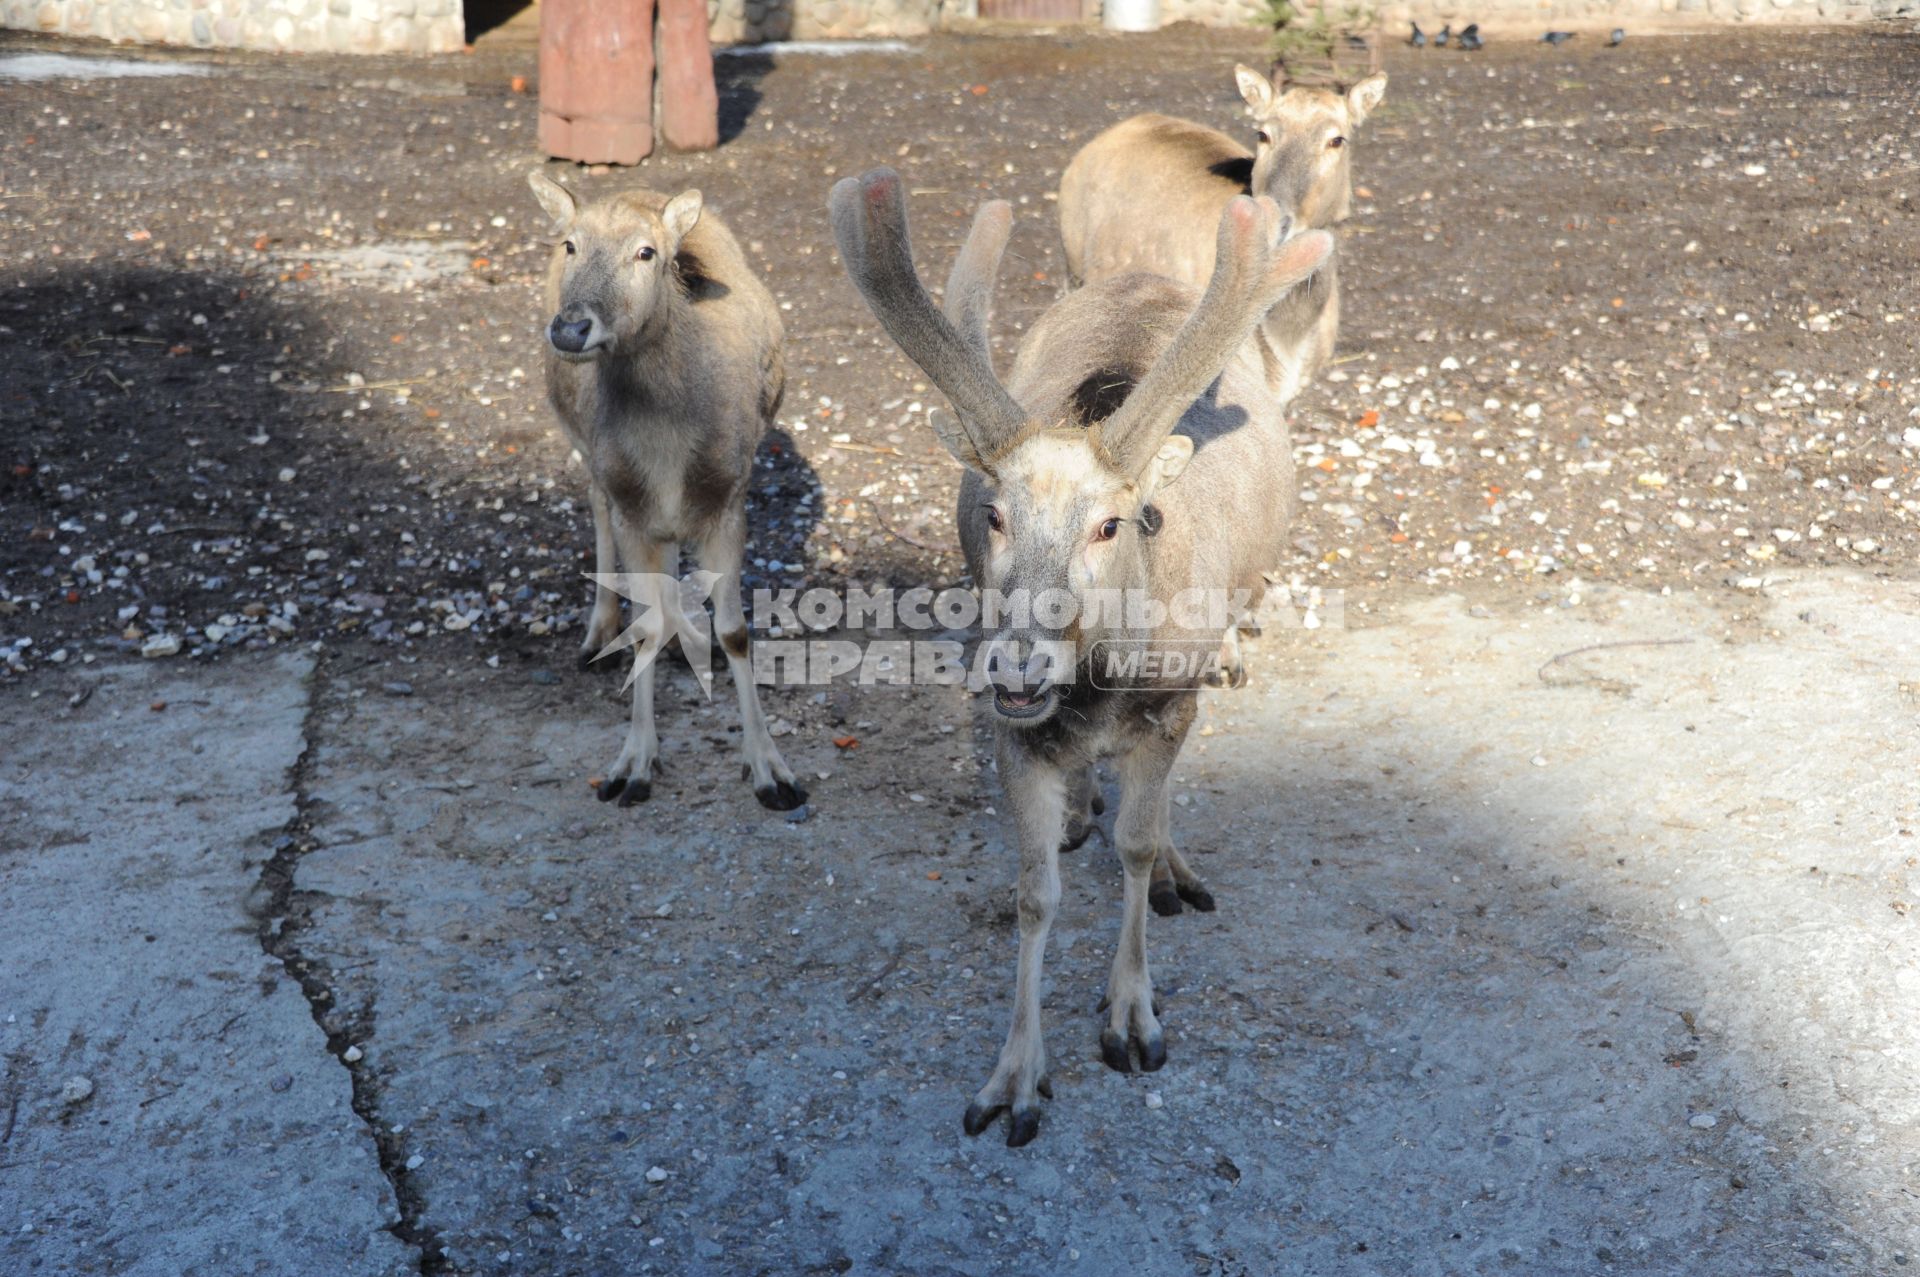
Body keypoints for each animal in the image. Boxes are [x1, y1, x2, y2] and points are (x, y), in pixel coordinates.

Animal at [529, 171, 806, 806]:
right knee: (597, 504)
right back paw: (598, 633)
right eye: (570, 245)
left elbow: (737, 632)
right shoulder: (630, 501)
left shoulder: (729, 495)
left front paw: (772, 771)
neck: (670, 451)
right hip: (580, 440)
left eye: (646, 253)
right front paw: (632, 766)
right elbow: (643, 630)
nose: (571, 328)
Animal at [833, 167, 1328, 1144]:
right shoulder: (1014, 736)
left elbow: (1133, 845)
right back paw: (1080, 807)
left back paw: (1172, 859)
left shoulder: (1170, 704)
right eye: (993, 513)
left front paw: (1132, 1013)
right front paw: (1015, 1077)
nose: (1019, 669)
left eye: (1112, 523)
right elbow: (1035, 893)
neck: (1101, 689)